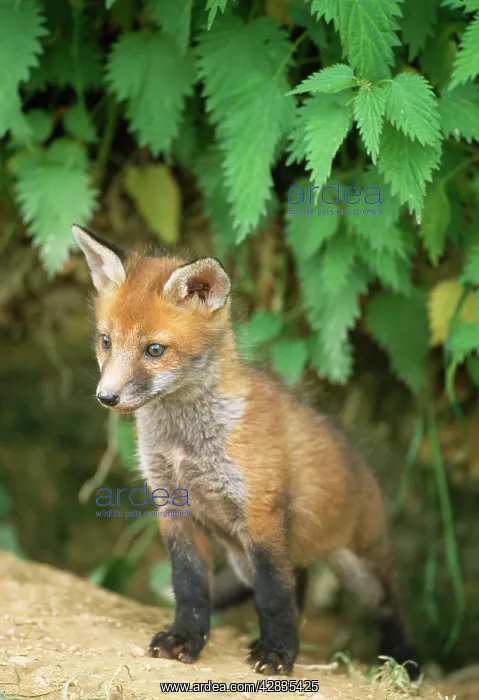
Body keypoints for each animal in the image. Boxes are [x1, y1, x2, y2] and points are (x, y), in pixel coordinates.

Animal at [72, 223, 420, 679]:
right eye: (106, 341)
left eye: (154, 350)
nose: (106, 397)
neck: (186, 443)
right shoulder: (174, 507)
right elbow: (190, 588)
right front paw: (185, 639)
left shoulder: (260, 511)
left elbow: (273, 597)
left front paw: (277, 654)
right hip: (244, 559)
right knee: (300, 583)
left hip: (361, 568)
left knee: (388, 606)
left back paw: (404, 660)